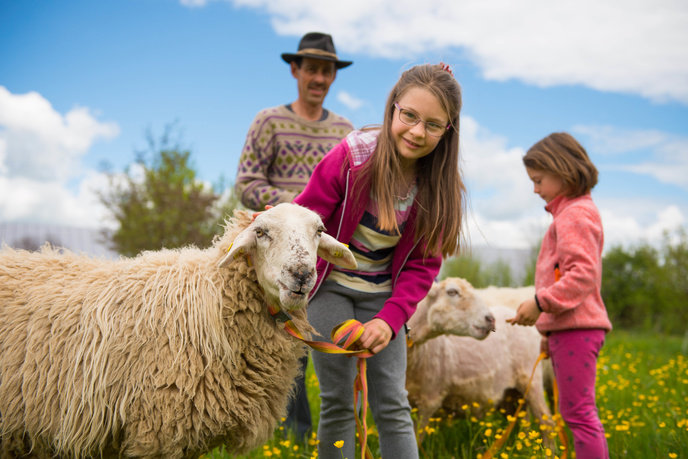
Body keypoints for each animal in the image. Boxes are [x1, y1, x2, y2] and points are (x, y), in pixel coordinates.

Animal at [406, 276, 552, 434]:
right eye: (452, 292)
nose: (491, 319)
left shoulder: (429, 401)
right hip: (512, 395)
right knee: (524, 424)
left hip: (532, 379)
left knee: (547, 422)